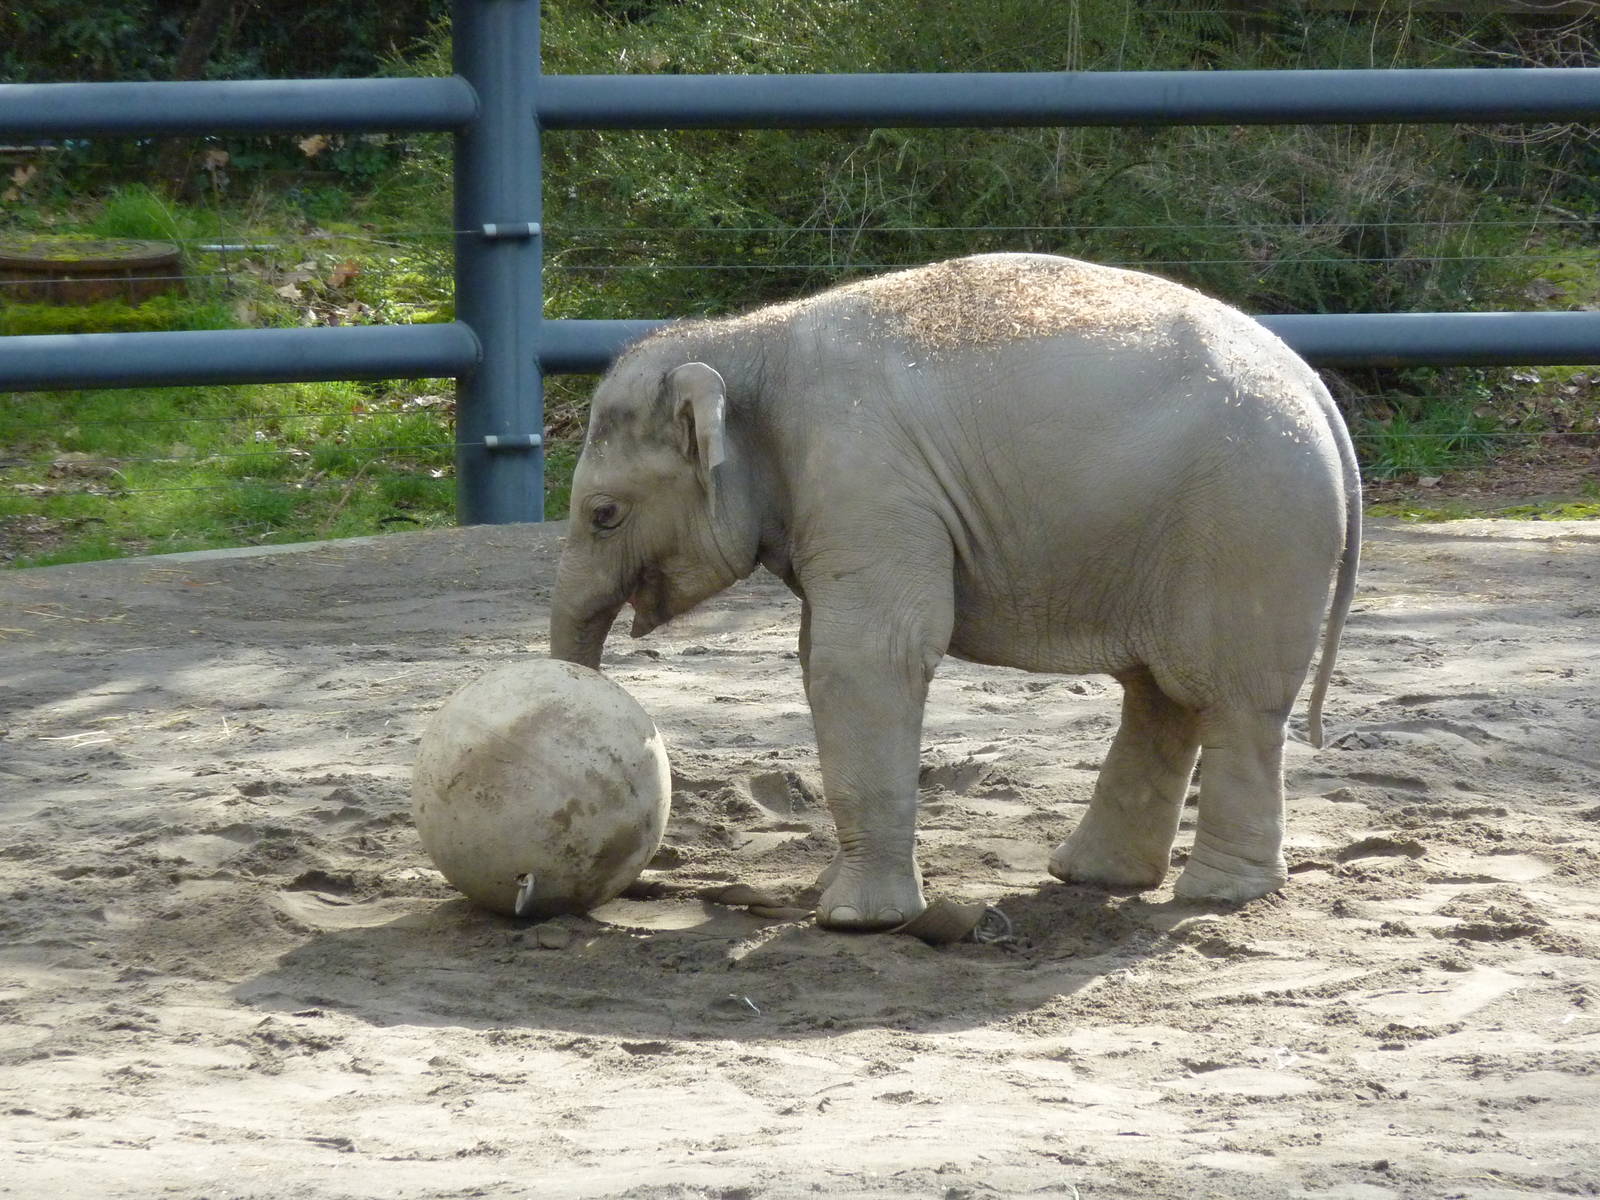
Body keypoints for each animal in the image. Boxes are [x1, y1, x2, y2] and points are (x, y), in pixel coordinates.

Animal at [550, 253, 1361, 932]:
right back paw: (1094, 877)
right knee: (1161, 694)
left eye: (603, 514)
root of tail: (1314, 387)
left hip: (1251, 528)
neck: (749, 341)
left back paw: (1218, 895)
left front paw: (855, 921)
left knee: (1234, 701)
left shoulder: (866, 479)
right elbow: (823, 656)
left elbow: (866, 657)